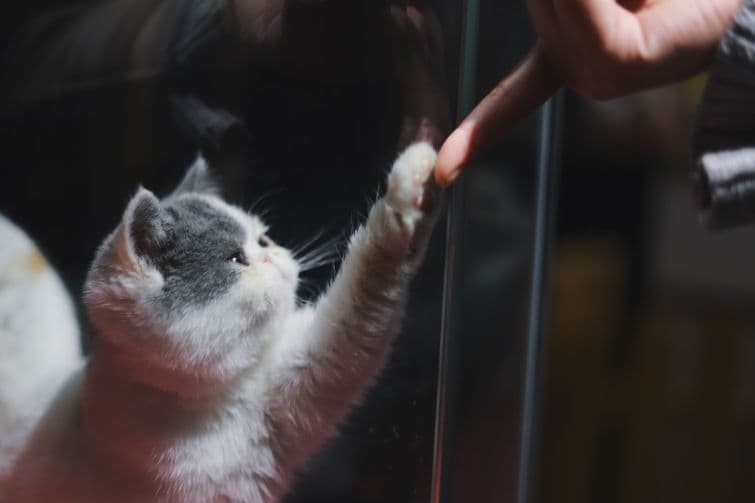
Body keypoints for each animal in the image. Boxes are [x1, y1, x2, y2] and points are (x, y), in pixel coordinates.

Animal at [1, 143, 442, 503]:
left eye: (262, 239)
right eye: (234, 258)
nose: (275, 254)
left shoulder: (295, 388)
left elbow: (356, 326)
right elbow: (367, 283)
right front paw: (408, 188)